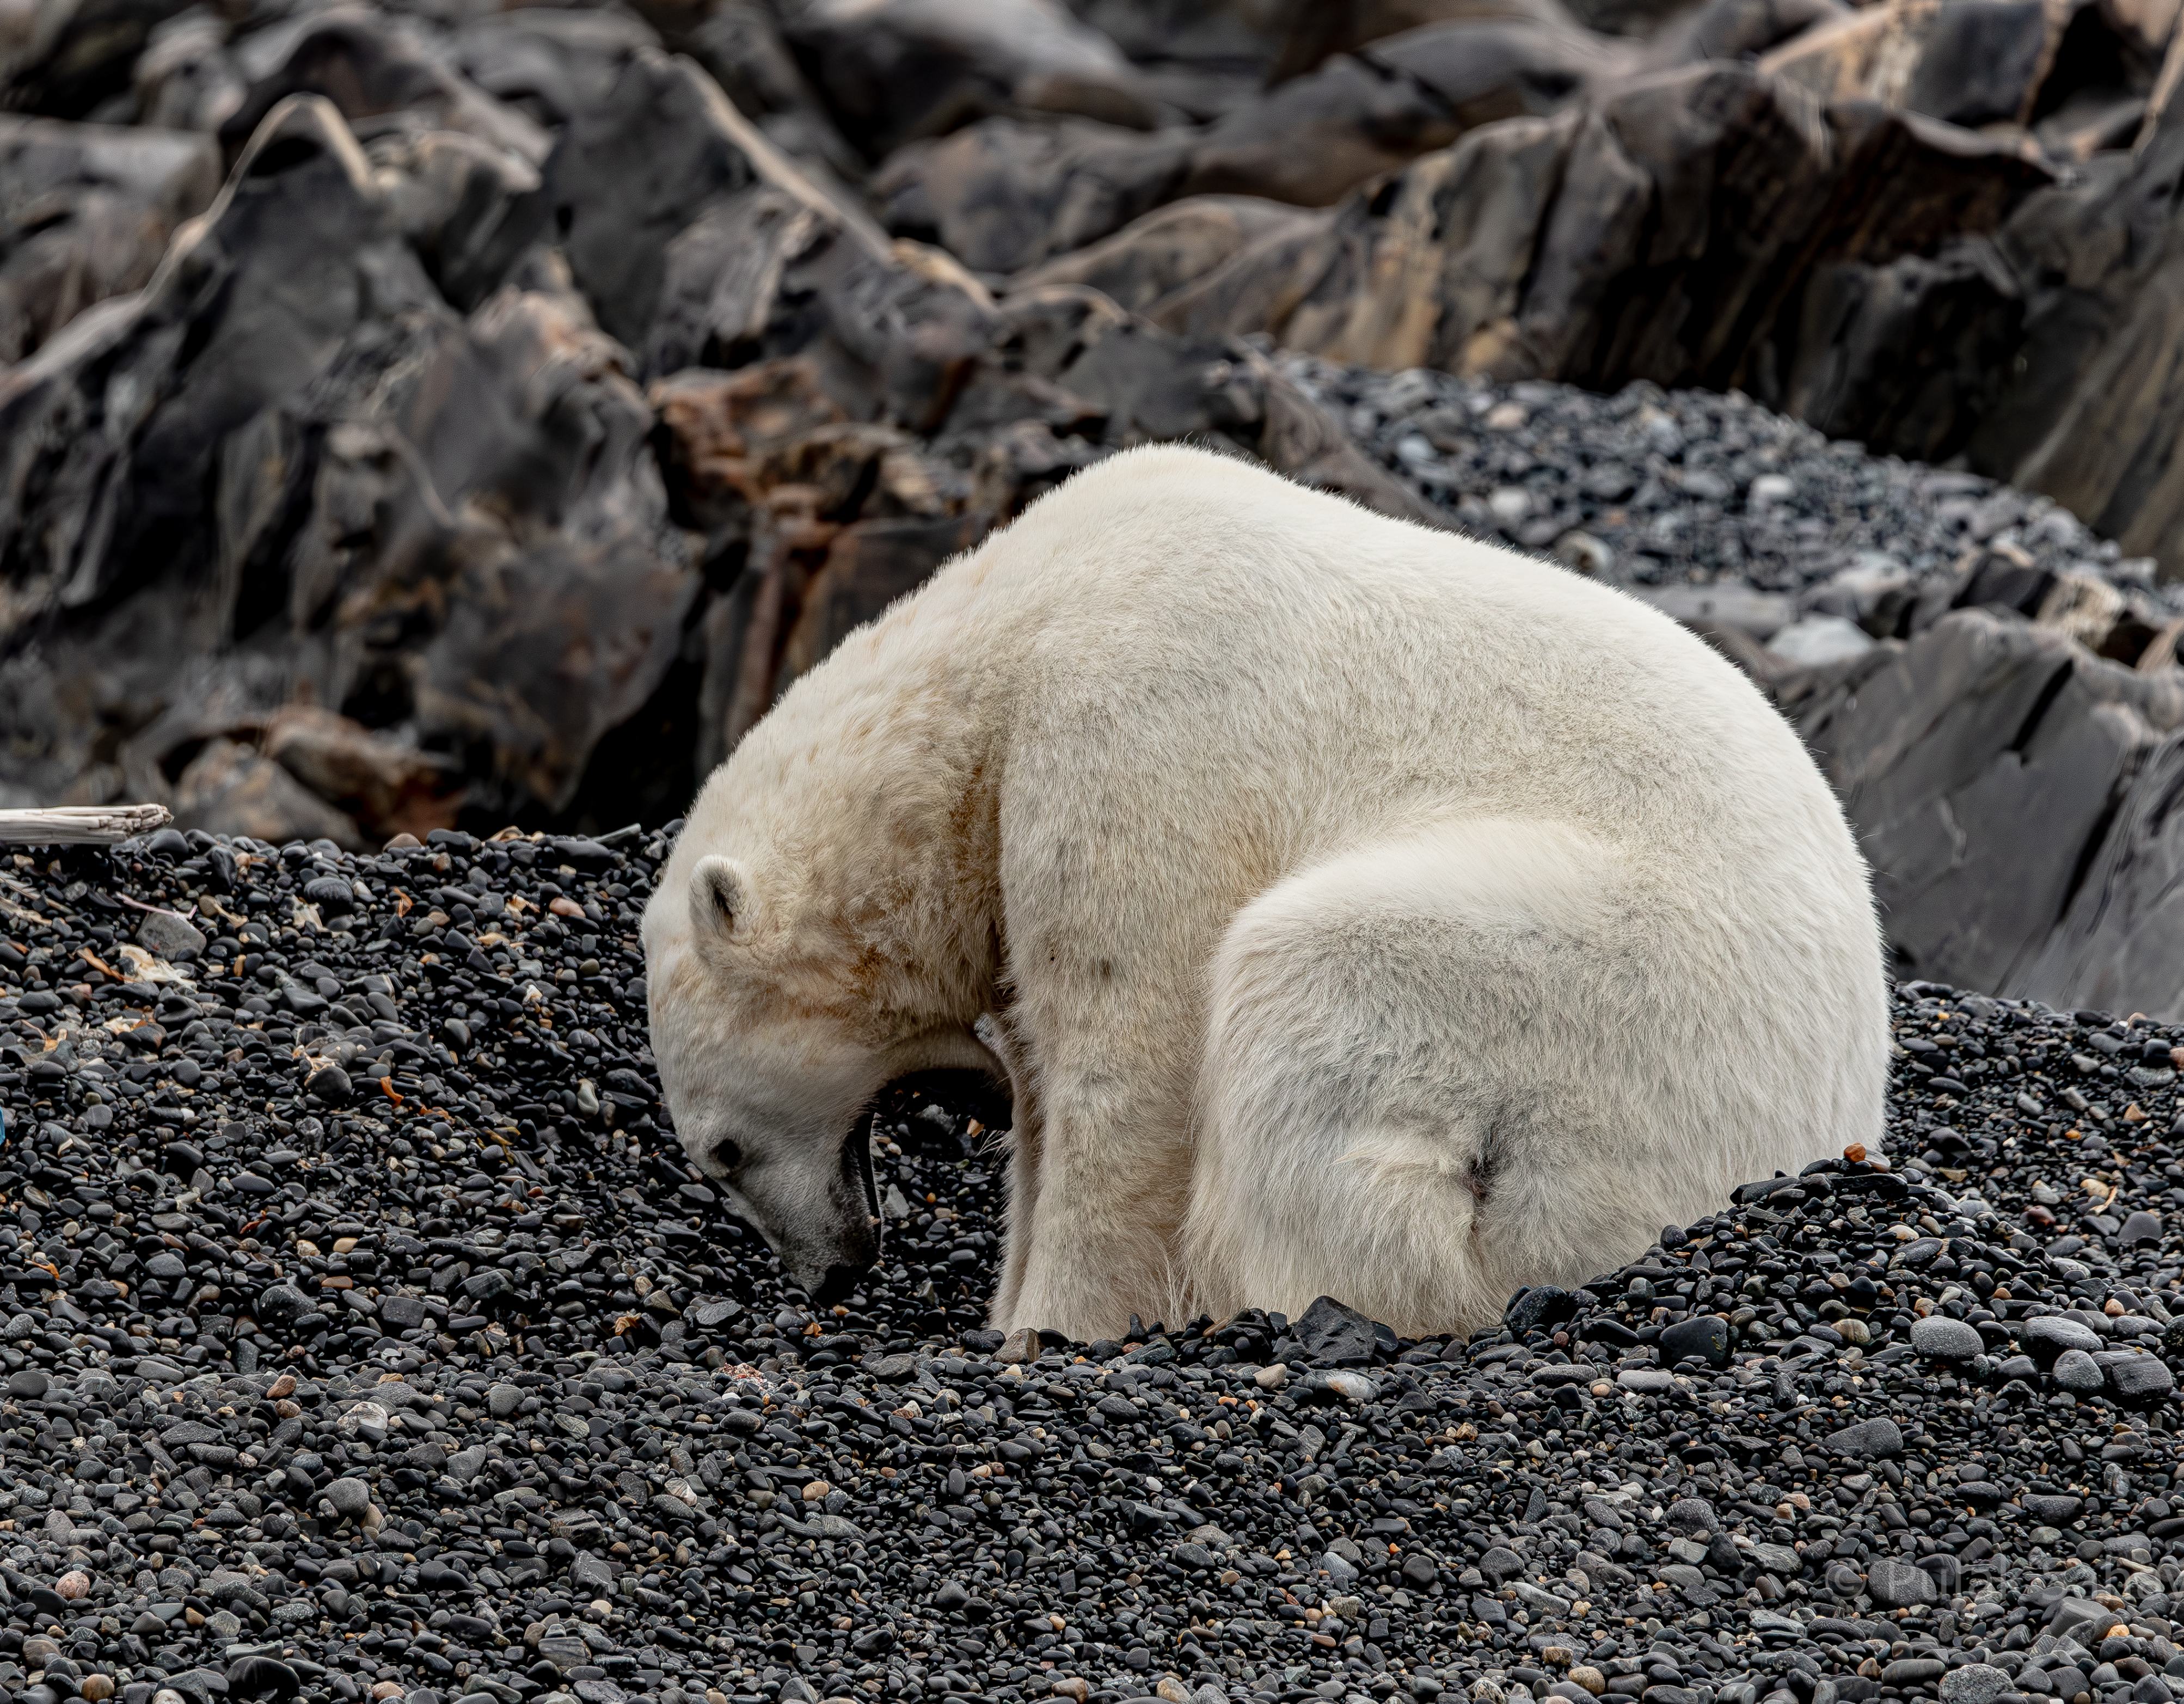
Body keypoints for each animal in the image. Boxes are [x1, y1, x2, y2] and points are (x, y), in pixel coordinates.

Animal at [642, 443, 1890, 1342]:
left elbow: (1129, 1050)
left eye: (722, 1150)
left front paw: (1053, 1325)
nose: (830, 1269)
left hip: (1606, 992)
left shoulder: (1128, 726)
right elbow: (1040, 1079)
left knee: (1316, 988)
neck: (1013, 628)